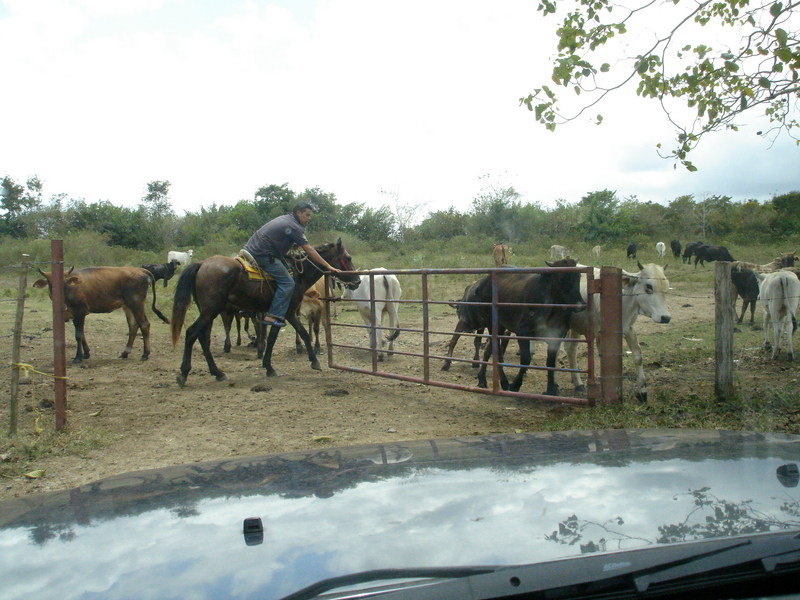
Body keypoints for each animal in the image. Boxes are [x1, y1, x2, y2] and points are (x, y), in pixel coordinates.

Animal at [33, 268, 170, 364]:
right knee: (133, 325)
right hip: (127, 306)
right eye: (50, 283)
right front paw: (86, 353)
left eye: (64, 282)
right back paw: (125, 353)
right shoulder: (74, 314)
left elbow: (78, 335)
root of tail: (141, 270)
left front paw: (78, 357)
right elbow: (81, 333)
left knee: (144, 325)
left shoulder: (80, 312)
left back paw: (145, 354)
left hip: (136, 304)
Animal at [172, 239, 360, 390]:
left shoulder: (283, 314)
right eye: (348, 258)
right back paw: (184, 373)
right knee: (191, 333)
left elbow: (286, 336)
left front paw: (270, 366)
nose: (357, 281)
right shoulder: (286, 312)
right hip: (211, 310)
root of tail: (201, 264)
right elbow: (290, 335)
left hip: (208, 311)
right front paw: (311, 361)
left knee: (203, 337)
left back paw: (217, 372)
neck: (297, 274)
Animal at [472, 258, 584, 396]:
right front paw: (515, 385)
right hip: (492, 322)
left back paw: (482, 379)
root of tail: (483, 282)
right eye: (562, 277)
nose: (580, 305)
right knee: (497, 352)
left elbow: (551, 362)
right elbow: (526, 359)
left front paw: (551, 389)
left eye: (578, 276)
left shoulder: (556, 336)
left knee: (489, 349)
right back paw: (503, 382)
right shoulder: (523, 332)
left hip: (501, 326)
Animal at [564, 262, 672, 404]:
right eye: (648, 286)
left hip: (576, 327)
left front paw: (642, 392)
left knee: (571, 349)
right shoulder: (600, 333)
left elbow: (638, 356)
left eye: (666, 287)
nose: (665, 318)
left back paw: (578, 383)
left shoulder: (629, 328)